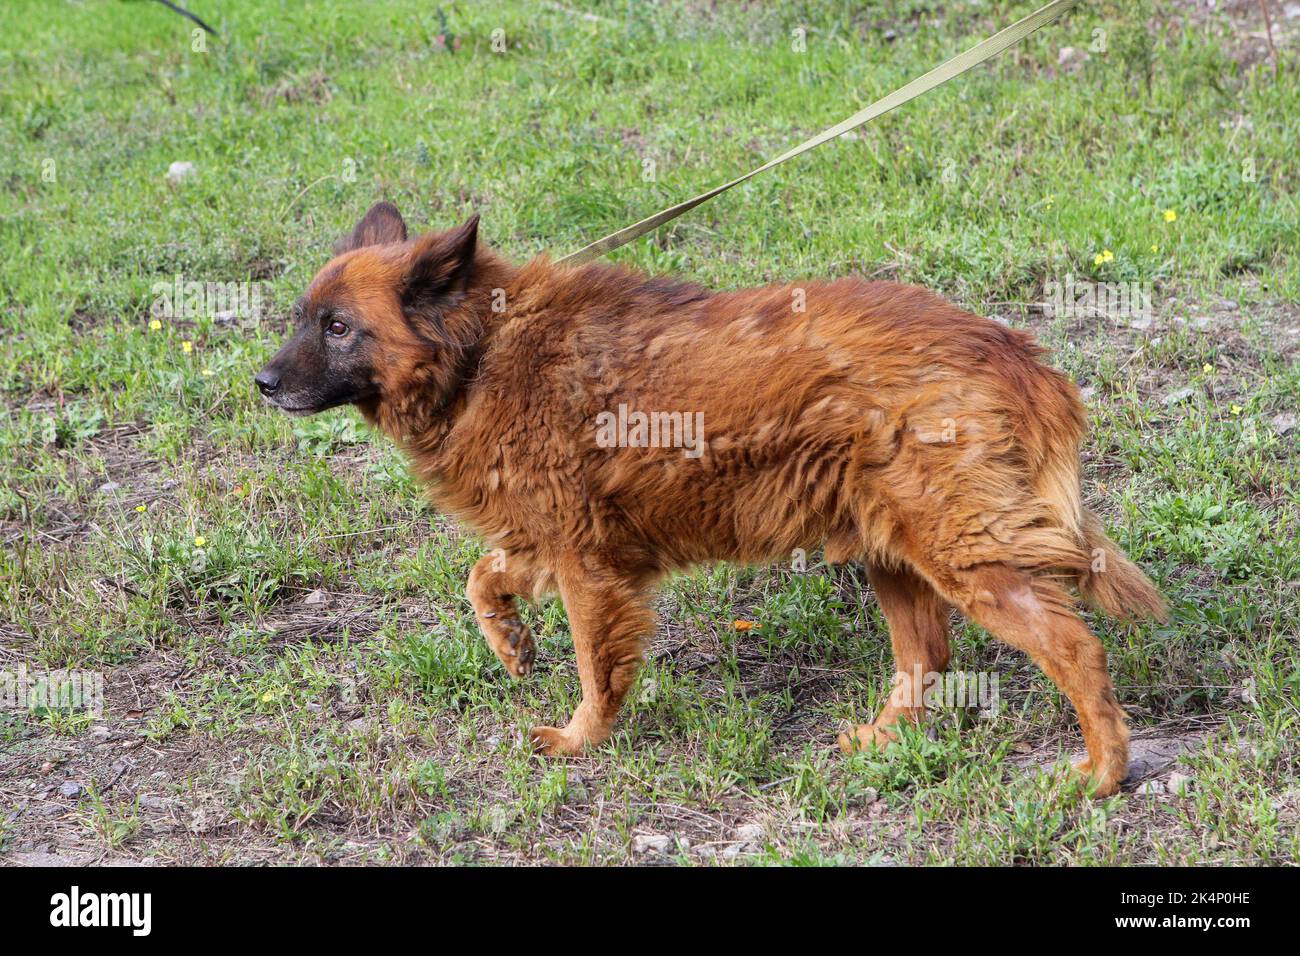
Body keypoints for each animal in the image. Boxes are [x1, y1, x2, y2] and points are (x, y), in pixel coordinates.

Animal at [258, 204, 1164, 801]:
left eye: (339, 327)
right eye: (304, 318)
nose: (261, 383)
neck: (482, 349)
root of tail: (1014, 349)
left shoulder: (588, 563)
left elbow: (595, 668)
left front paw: (583, 739)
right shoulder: (547, 538)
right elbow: (483, 577)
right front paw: (511, 644)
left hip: (963, 555)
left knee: (1073, 650)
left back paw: (1102, 774)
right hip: (891, 548)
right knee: (928, 660)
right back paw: (879, 744)